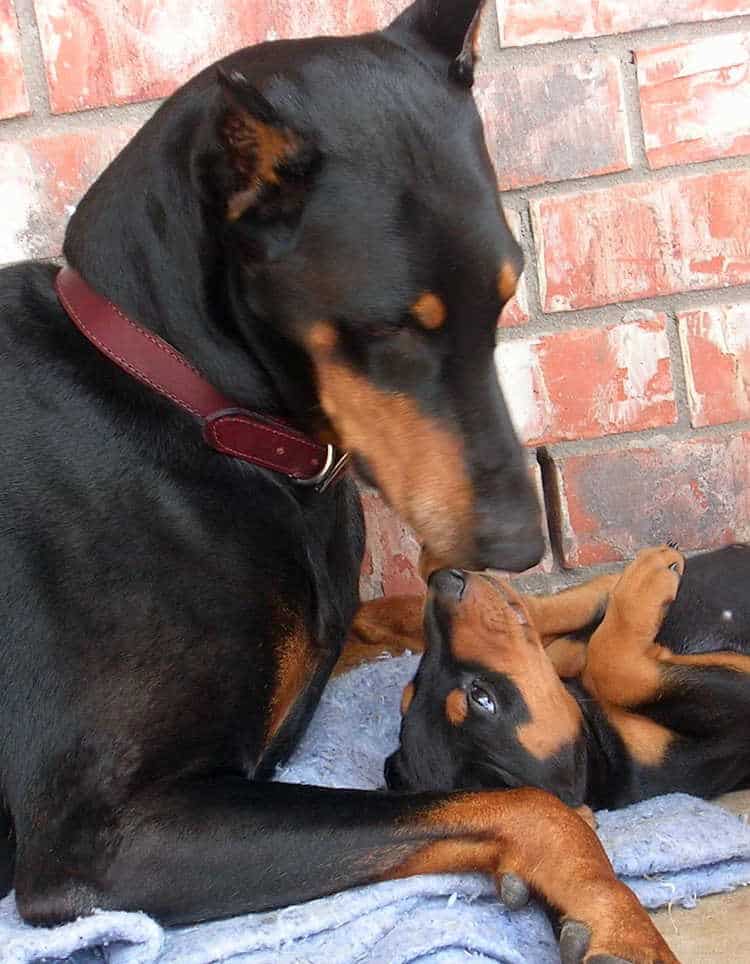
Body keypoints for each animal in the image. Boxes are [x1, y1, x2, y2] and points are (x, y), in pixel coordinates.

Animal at [0, 3, 680, 960]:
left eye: (506, 296)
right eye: (390, 326)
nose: (520, 541)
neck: (193, 405)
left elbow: (399, 609)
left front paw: (581, 599)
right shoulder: (102, 840)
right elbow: (530, 801)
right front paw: (623, 926)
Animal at [388, 544, 750, 812]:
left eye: (408, 694)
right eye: (481, 697)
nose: (439, 580)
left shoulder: (568, 641)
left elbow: (573, 603)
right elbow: (612, 669)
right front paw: (651, 576)